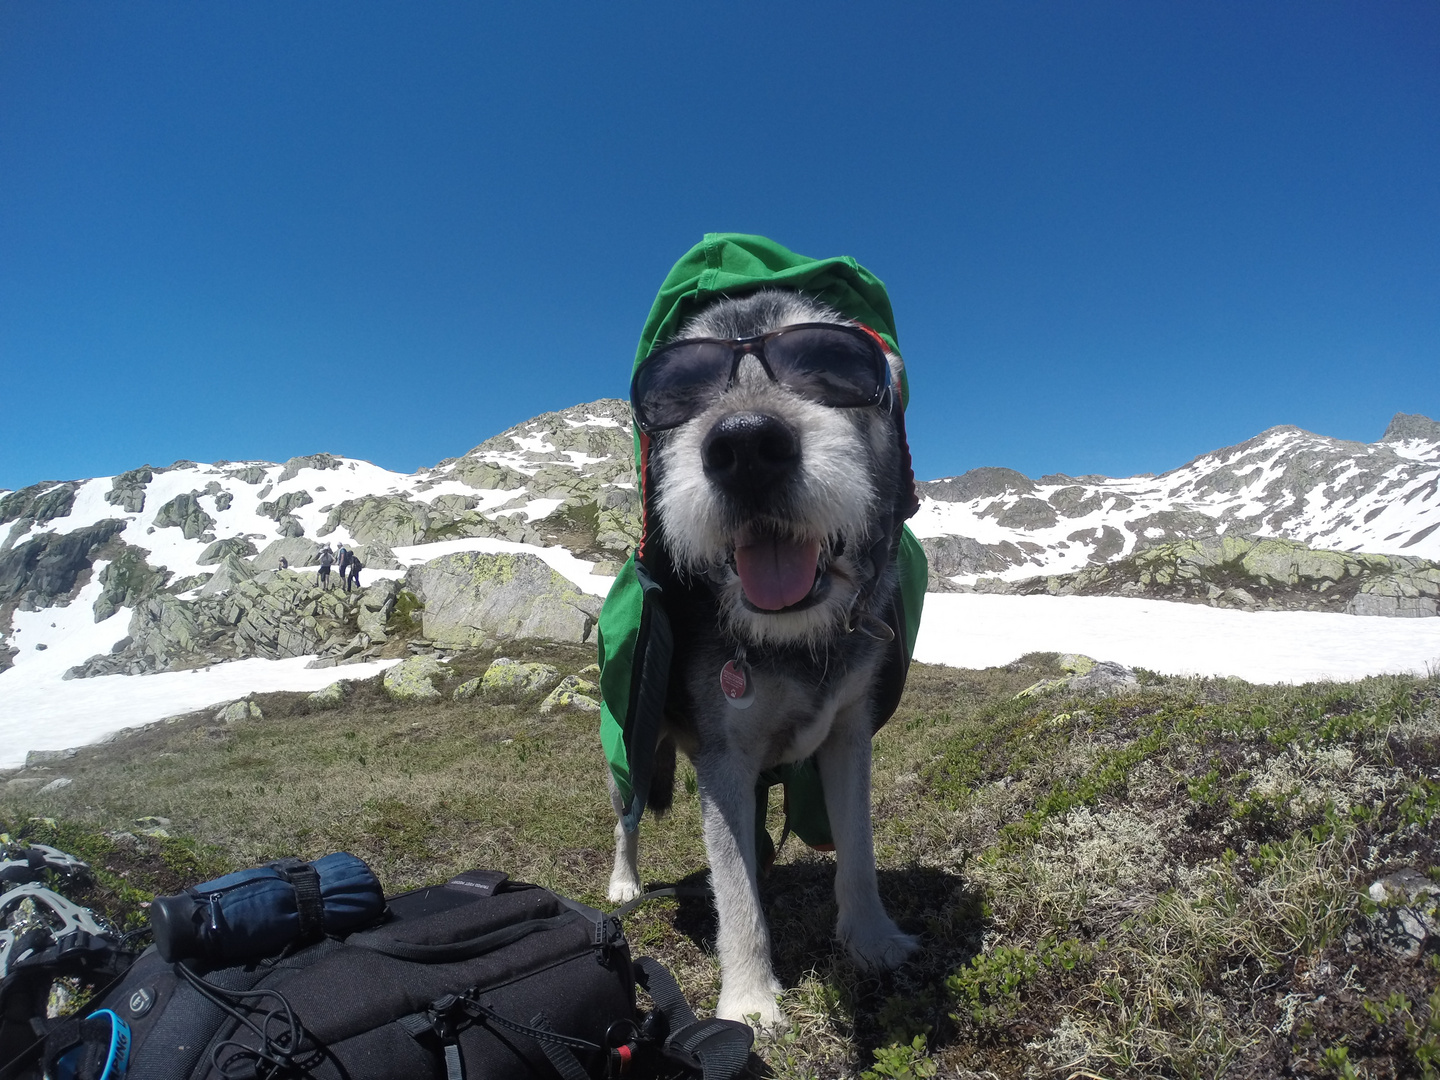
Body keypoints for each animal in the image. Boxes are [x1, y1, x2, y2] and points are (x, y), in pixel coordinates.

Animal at [601, 288, 915, 1031]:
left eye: (829, 363)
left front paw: (873, 940)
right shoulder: (725, 760)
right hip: (631, 742)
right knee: (626, 818)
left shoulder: (848, 733)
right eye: (679, 390)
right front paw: (747, 1002)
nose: (745, 446)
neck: (790, 638)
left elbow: (857, 849)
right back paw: (625, 883)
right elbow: (735, 891)